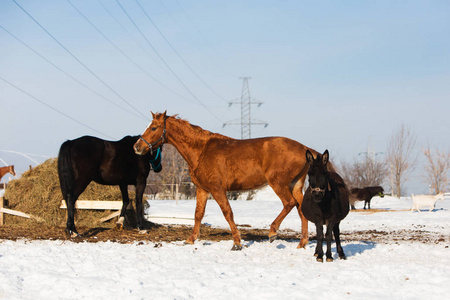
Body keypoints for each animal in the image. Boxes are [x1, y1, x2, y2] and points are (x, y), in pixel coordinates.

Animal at [134, 111, 320, 250]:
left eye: (153, 127)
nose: (137, 147)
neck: (201, 151)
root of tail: (304, 148)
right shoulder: (202, 189)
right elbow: (198, 214)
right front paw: (190, 240)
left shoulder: (217, 189)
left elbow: (227, 213)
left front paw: (237, 243)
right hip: (295, 185)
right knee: (301, 209)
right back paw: (302, 243)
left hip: (278, 184)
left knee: (289, 203)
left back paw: (273, 233)